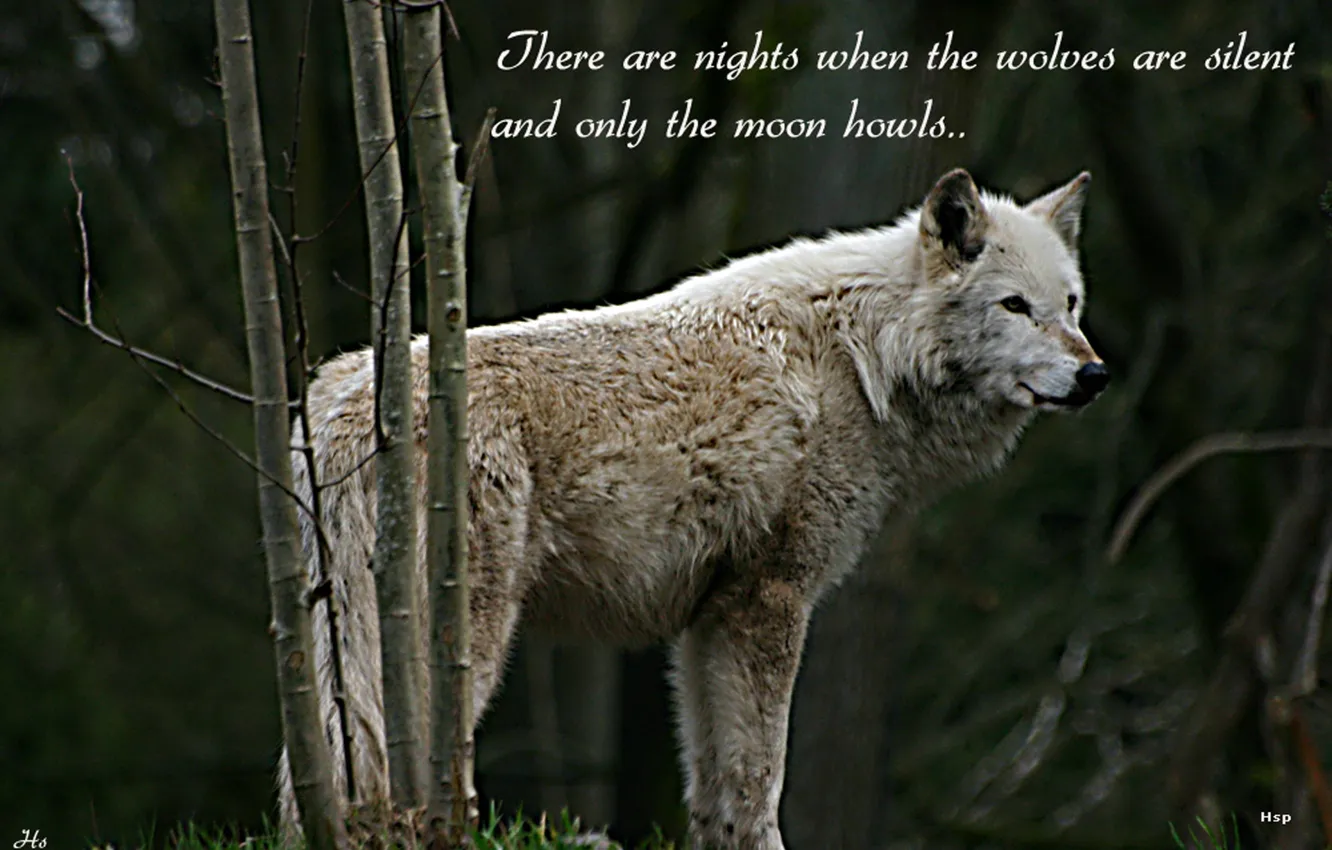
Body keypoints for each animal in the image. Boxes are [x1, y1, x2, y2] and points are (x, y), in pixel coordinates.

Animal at [277, 168, 1108, 849]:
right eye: (1014, 306)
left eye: (1070, 304)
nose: (1095, 374)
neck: (867, 357)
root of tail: (346, 409)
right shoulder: (771, 600)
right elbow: (759, 779)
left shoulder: (710, 617)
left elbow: (714, 790)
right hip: (462, 640)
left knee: (310, 779)